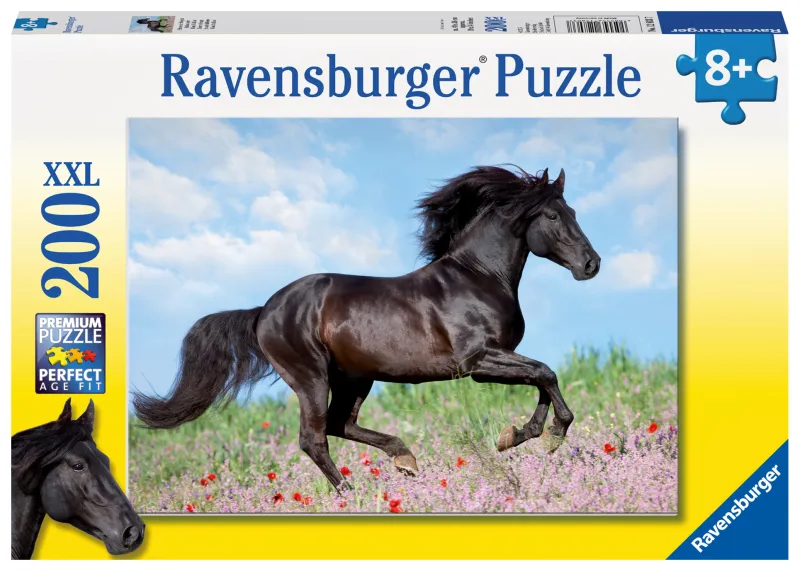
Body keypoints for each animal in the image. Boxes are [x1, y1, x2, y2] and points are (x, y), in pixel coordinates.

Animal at [133, 165, 600, 492]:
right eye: (553, 216)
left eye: (573, 212)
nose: (591, 264)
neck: (478, 276)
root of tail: (263, 310)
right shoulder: (478, 362)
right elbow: (545, 373)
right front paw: (551, 435)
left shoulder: (497, 359)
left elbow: (542, 378)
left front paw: (519, 436)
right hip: (311, 377)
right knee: (314, 437)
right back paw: (351, 492)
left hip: (355, 377)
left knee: (340, 424)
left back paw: (405, 460)